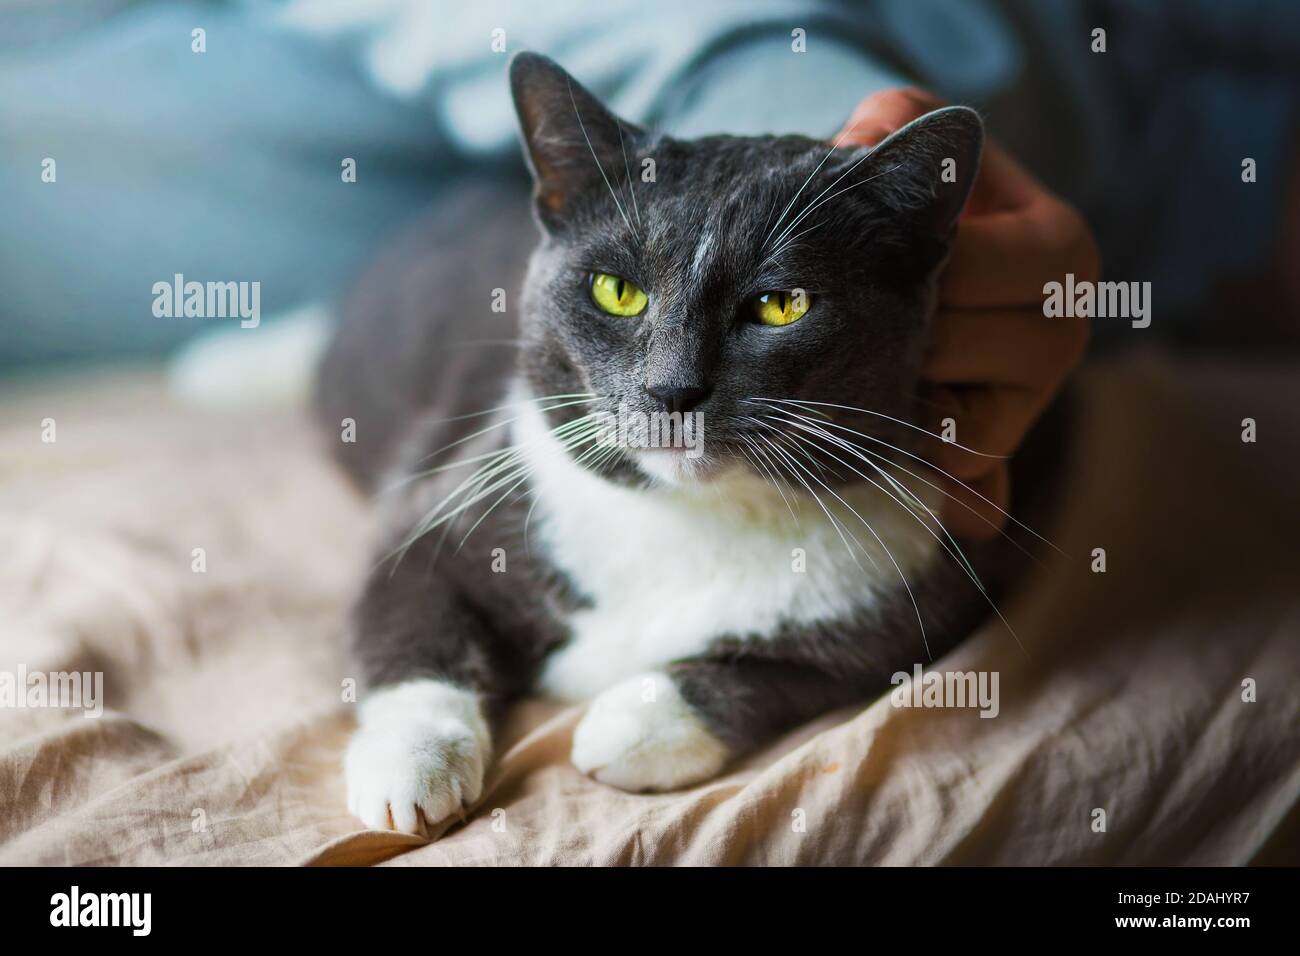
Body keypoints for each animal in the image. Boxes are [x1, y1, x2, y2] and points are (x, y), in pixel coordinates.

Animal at [317, 52, 1055, 832]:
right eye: (615, 291)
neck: (692, 517)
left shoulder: (929, 590)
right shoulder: (440, 508)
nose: (673, 389)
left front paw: (634, 723)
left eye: (782, 304)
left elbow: (801, 673)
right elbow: (412, 629)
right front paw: (414, 769)